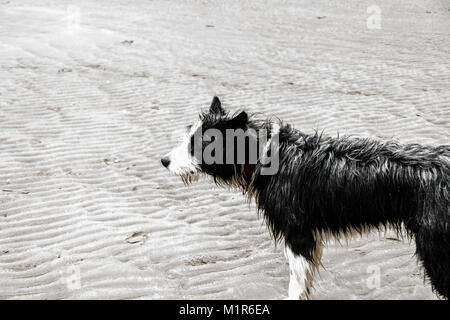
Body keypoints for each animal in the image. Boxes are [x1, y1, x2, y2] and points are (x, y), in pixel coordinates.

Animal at [160, 96, 448, 298]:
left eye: (198, 144)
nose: (164, 160)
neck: (264, 155)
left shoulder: (297, 234)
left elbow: (296, 285)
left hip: (435, 249)